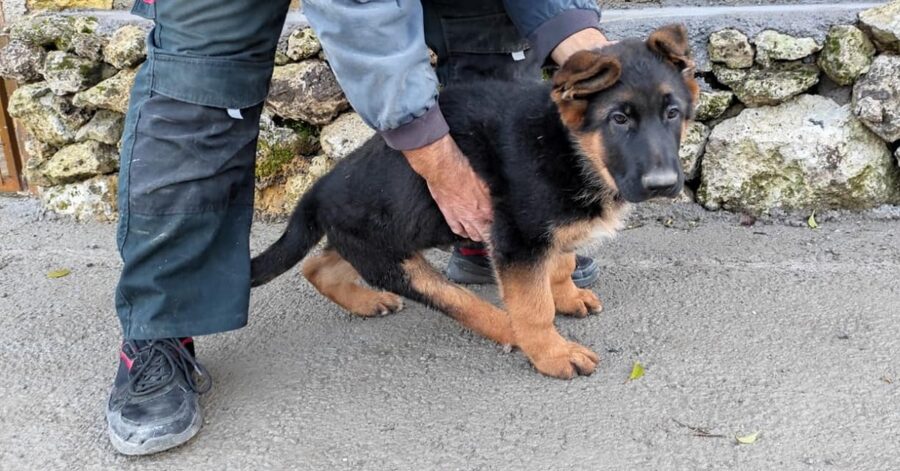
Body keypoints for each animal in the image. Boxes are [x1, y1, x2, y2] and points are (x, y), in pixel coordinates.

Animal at [250, 24, 700, 380]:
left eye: (673, 113)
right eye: (618, 120)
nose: (663, 185)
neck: (570, 147)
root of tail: (319, 189)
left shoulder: (544, 232)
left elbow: (561, 263)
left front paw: (568, 295)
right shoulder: (519, 240)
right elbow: (534, 306)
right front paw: (553, 353)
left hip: (381, 242)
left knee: (316, 265)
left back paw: (366, 300)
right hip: (398, 260)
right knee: (463, 304)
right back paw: (511, 331)